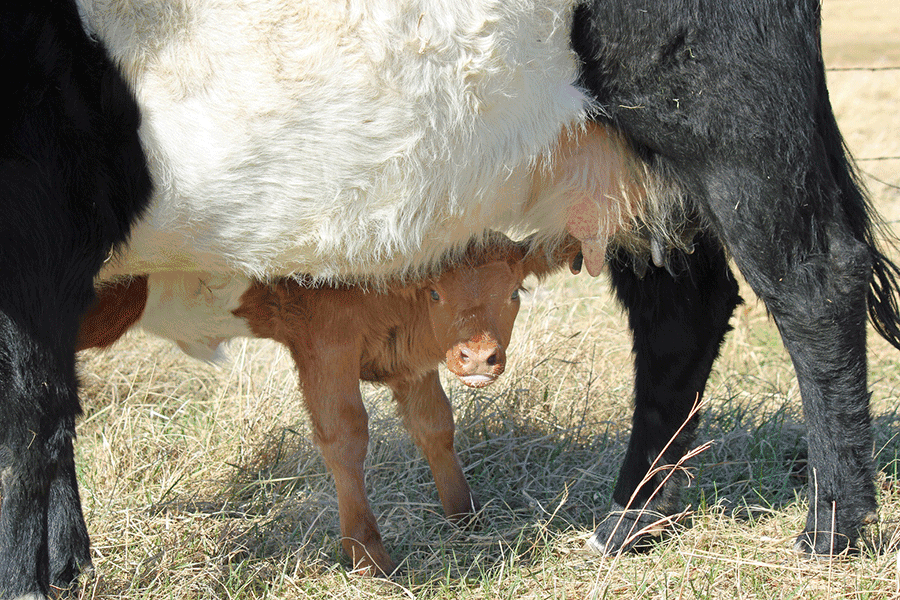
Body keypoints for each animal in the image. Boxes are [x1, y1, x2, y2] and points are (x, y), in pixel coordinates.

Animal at [75, 234, 581, 575]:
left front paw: (465, 516)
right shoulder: (325, 340)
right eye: (436, 292)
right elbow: (346, 437)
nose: (478, 357)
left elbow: (435, 425)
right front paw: (368, 555)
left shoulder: (411, 359)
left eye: (514, 292)